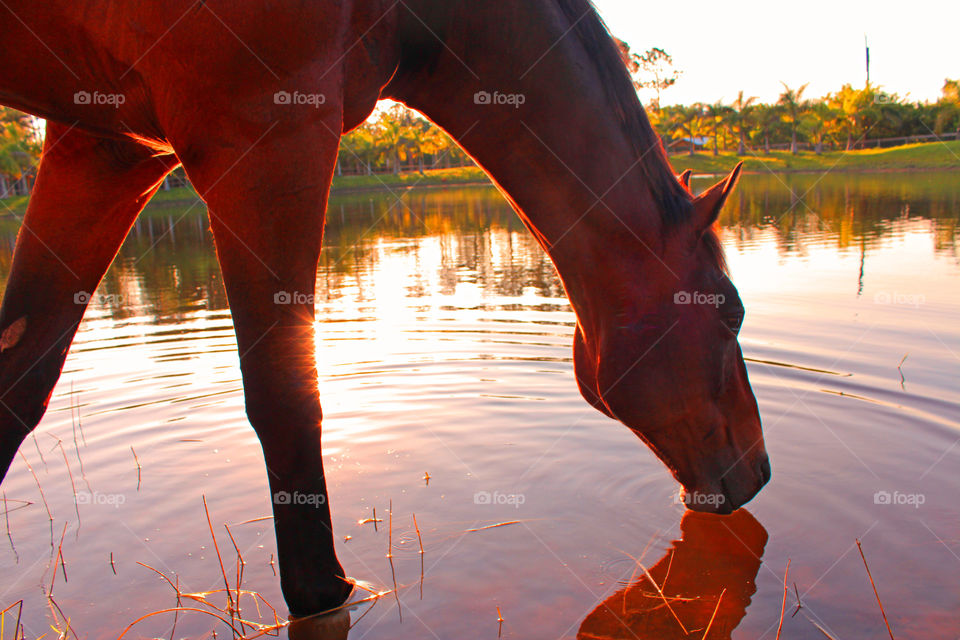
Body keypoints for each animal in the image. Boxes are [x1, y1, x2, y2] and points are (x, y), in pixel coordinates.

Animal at [0, 1, 768, 620]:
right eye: (730, 310)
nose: (759, 473)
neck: (419, 13)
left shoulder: (104, 144)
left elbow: (20, 379)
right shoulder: (268, 136)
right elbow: (286, 398)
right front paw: (325, 589)